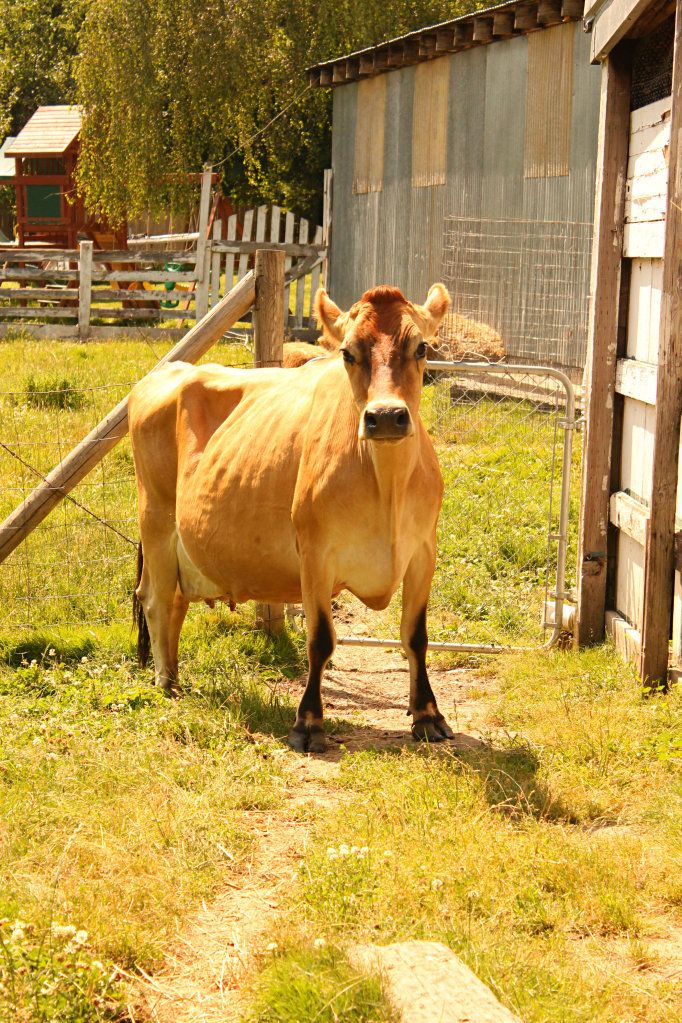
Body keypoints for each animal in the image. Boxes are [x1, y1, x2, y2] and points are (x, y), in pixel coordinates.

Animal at [129, 283, 455, 752]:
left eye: (422, 347)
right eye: (348, 352)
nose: (386, 417)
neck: (386, 486)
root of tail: (168, 371)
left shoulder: (423, 552)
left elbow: (416, 635)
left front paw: (428, 715)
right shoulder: (314, 554)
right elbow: (320, 640)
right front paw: (308, 722)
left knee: (174, 601)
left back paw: (172, 673)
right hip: (154, 515)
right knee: (154, 599)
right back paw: (165, 683)